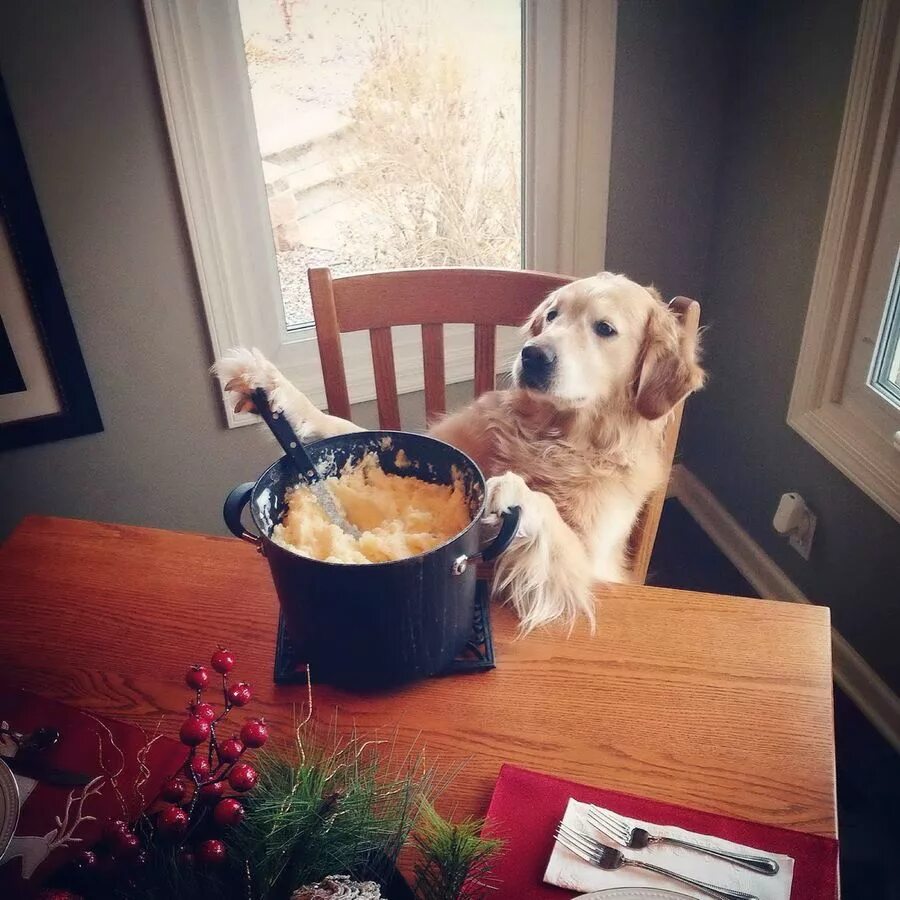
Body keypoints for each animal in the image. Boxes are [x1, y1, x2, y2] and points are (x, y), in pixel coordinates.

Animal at [216, 274, 704, 632]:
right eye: (551, 315)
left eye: (605, 329)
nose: (532, 355)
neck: (552, 436)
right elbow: (333, 425)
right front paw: (270, 384)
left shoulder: (591, 565)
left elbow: (547, 516)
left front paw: (514, 490)